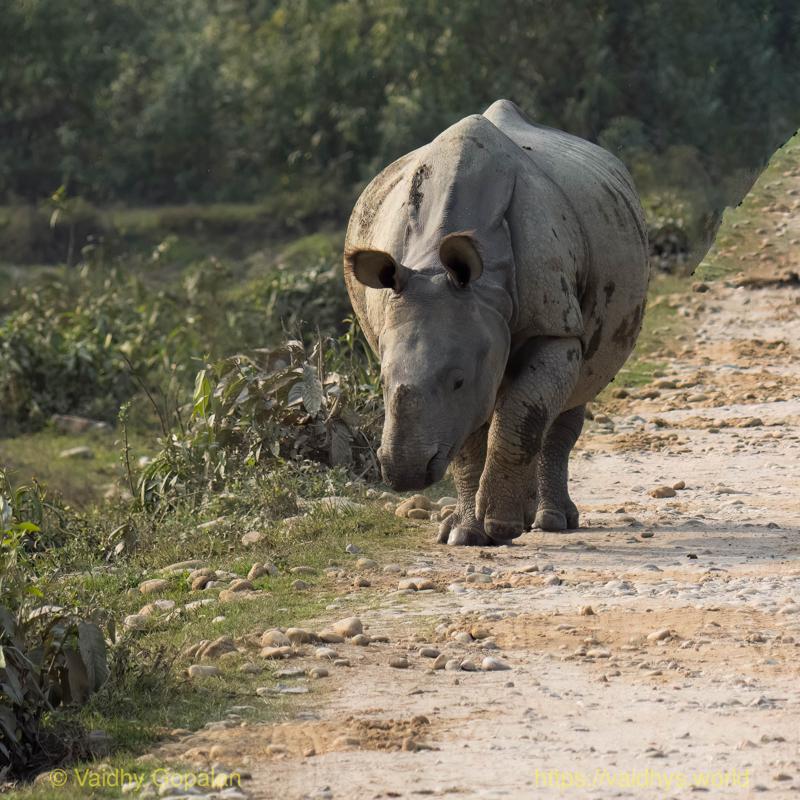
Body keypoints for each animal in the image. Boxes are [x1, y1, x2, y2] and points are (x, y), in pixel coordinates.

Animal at [344, 99, 649, 545]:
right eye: (380, 382)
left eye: (456, 380)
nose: (404, 473)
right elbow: (469, 439)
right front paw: (464, 534)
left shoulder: (551, 328)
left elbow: (522, 418)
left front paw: (500, 527)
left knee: (565, 400)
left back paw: (550, 521)